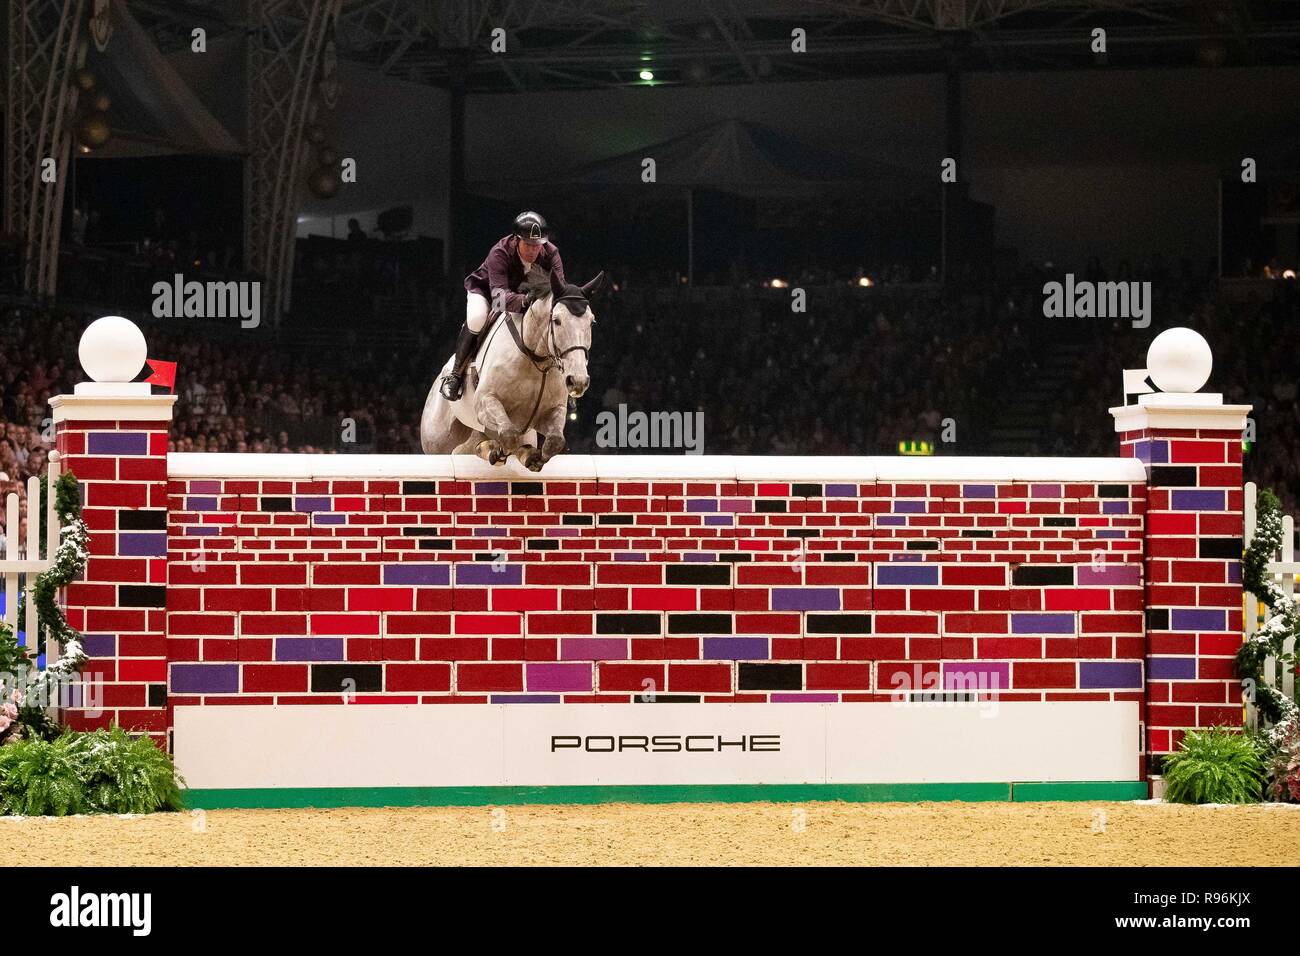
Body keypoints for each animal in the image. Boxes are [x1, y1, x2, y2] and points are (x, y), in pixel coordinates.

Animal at [418, 267, 605, 468]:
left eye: (592, 322)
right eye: (557, 320)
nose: (578, 381)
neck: (535, 361)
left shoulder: (552, 411)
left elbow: (554, 441)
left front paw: (531, 457)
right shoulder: (485, 401)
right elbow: (509, 435)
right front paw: (498, 453)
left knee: (472, 445)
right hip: (438, 440)